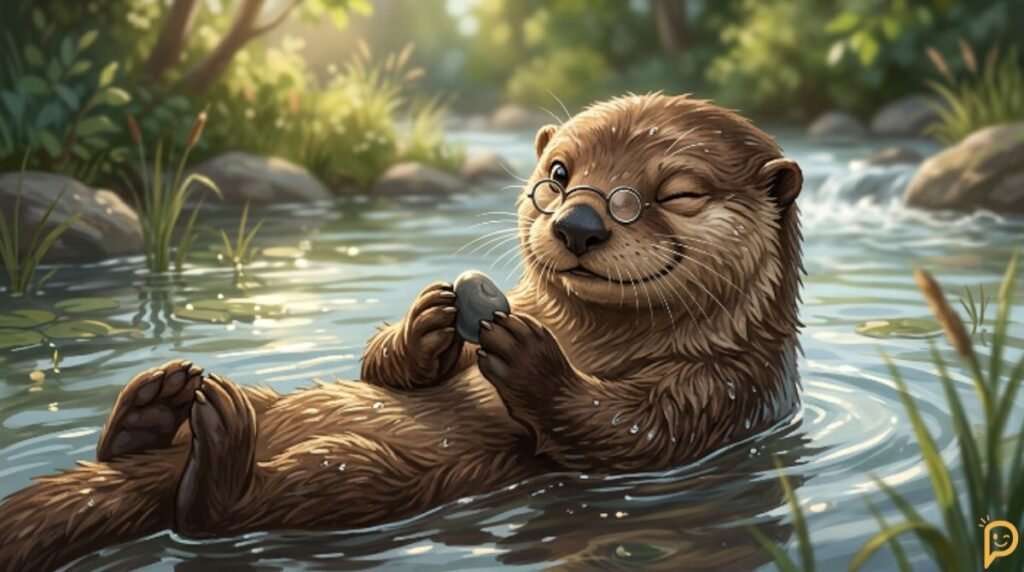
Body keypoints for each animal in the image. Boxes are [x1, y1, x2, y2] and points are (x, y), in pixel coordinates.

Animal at [0, 93, 803, 570]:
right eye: (557, 173)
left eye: (677, 194)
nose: (578, 221)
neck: (590, 343)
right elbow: (377, 365)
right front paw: (429, 321)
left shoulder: (728, 386)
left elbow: (634, 431)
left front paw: (530, 360)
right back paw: (156, 401)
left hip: (357, 478)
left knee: (217, 513)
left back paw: (218, 451)